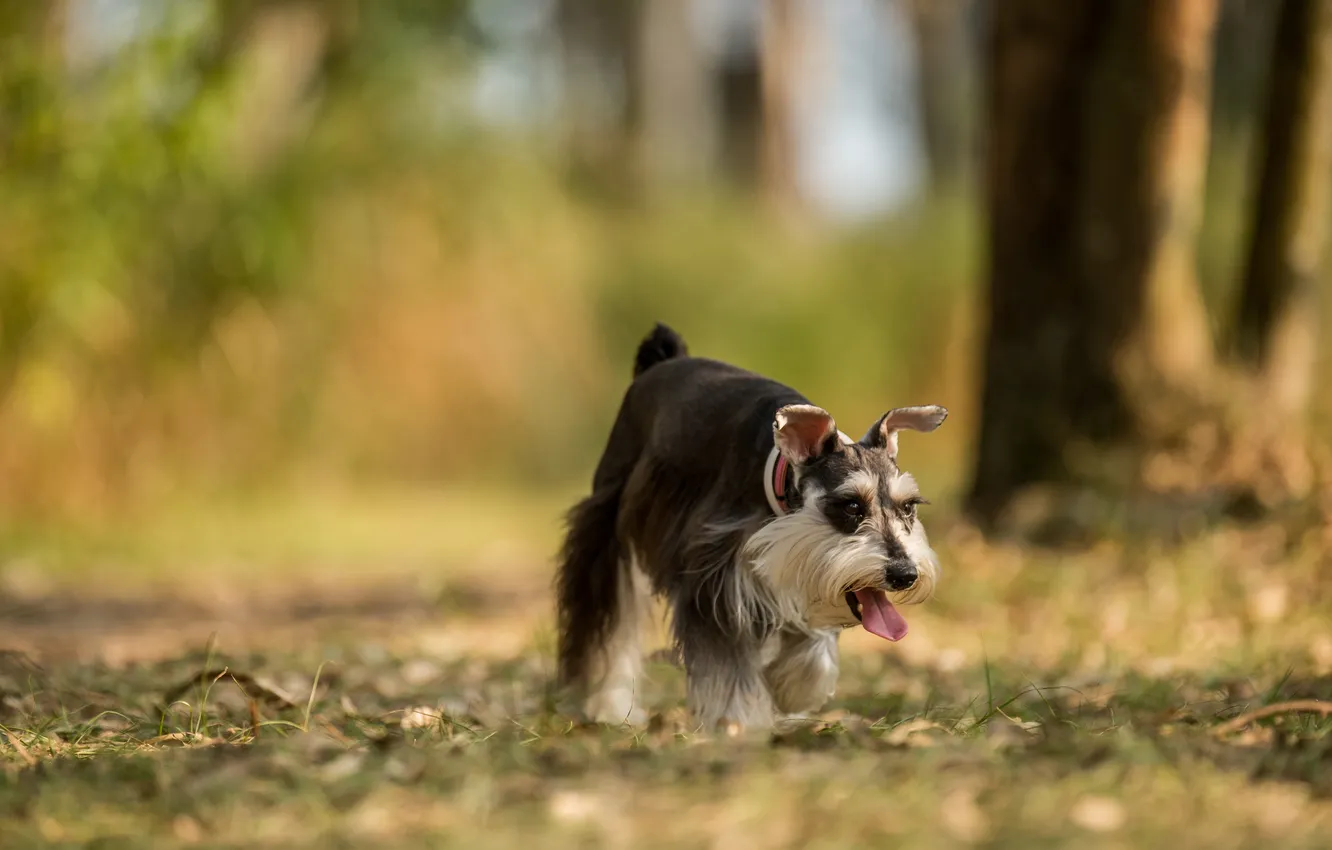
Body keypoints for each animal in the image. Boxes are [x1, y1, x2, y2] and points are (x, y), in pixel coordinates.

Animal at [554, 326, 948, 735]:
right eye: (852, 505)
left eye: (908, 506)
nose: (904, 574)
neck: (776, 481)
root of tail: (665, 360)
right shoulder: (714, 576)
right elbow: (727, 663)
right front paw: (736, 720)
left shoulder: (804, 569)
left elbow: (814, 649)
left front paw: (793, 692)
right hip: (606, 528)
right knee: (609, 628)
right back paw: (609, 705)